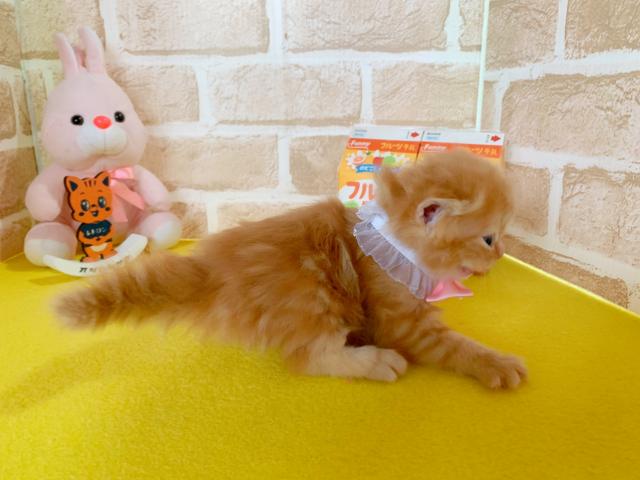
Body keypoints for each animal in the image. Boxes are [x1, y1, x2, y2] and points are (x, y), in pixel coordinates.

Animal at [54, 150, 527, 389]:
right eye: (489, 238)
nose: (502, 253)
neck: (394, 245)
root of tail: (216, 271)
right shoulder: (402, 321)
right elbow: (454, 346)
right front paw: (498, 364)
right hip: (311, 295)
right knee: (309, 357)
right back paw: (376, 362)